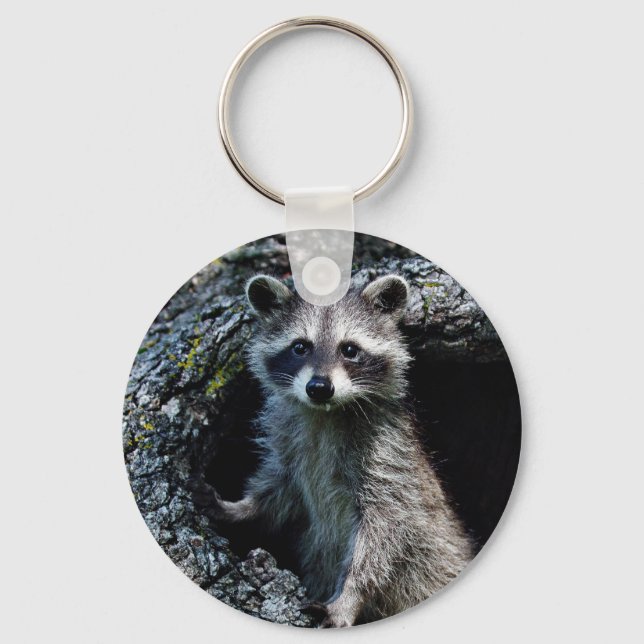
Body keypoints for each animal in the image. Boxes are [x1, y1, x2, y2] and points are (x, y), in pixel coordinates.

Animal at [210, 274, 472, 626]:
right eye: (300, 346)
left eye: (349, 349)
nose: (319, 388)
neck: (325, 413)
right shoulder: (288, 441)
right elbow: (278, 491)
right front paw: (241, 508)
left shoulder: (387, 454)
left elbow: (386, 530)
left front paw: (349, 596)